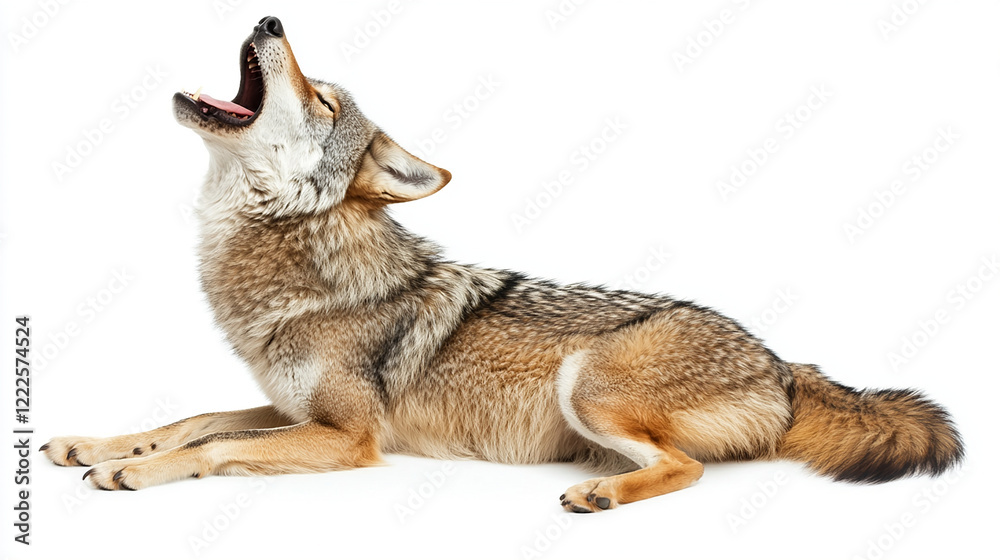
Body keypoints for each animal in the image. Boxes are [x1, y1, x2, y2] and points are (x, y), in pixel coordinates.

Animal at [42, 17, 963, 512]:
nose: (270, 21)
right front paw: (97, 443)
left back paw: (600, 496)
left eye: (325, 101)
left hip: (587, 385)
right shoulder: (292, 407)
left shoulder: (349, 437)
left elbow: (216, 445)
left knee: (687, 468)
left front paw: (130, 470)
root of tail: (782, 362)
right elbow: (194, 417)